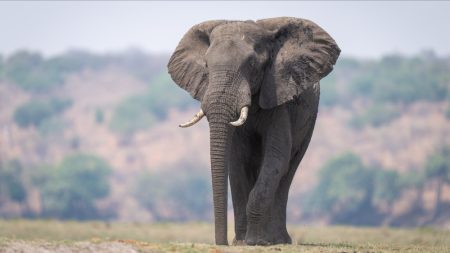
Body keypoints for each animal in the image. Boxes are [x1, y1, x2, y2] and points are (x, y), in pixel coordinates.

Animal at [167, 16, 340, 245]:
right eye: (206, 65)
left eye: (251, 64)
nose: (221, 243)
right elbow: (237, 161)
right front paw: (241, 242)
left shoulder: (278, 97)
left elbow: (276, 156)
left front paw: (255, 242)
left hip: (309, 121)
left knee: (288, 169)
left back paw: (278, 240)